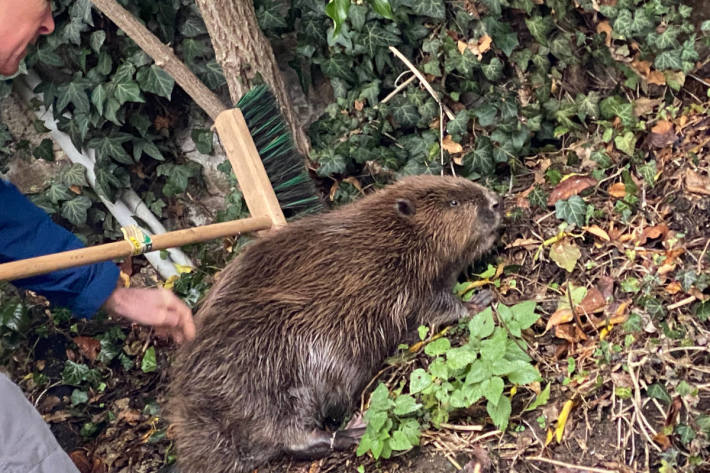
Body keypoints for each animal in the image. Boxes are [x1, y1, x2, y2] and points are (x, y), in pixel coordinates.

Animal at [168, 174, 500, 472]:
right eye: (453, 202)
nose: (496, 201)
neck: (392, 237)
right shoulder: (397, 281)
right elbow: (433, 307)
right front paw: (480, 300)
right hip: (267, 373)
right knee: (290, 435)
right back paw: (354, 429)